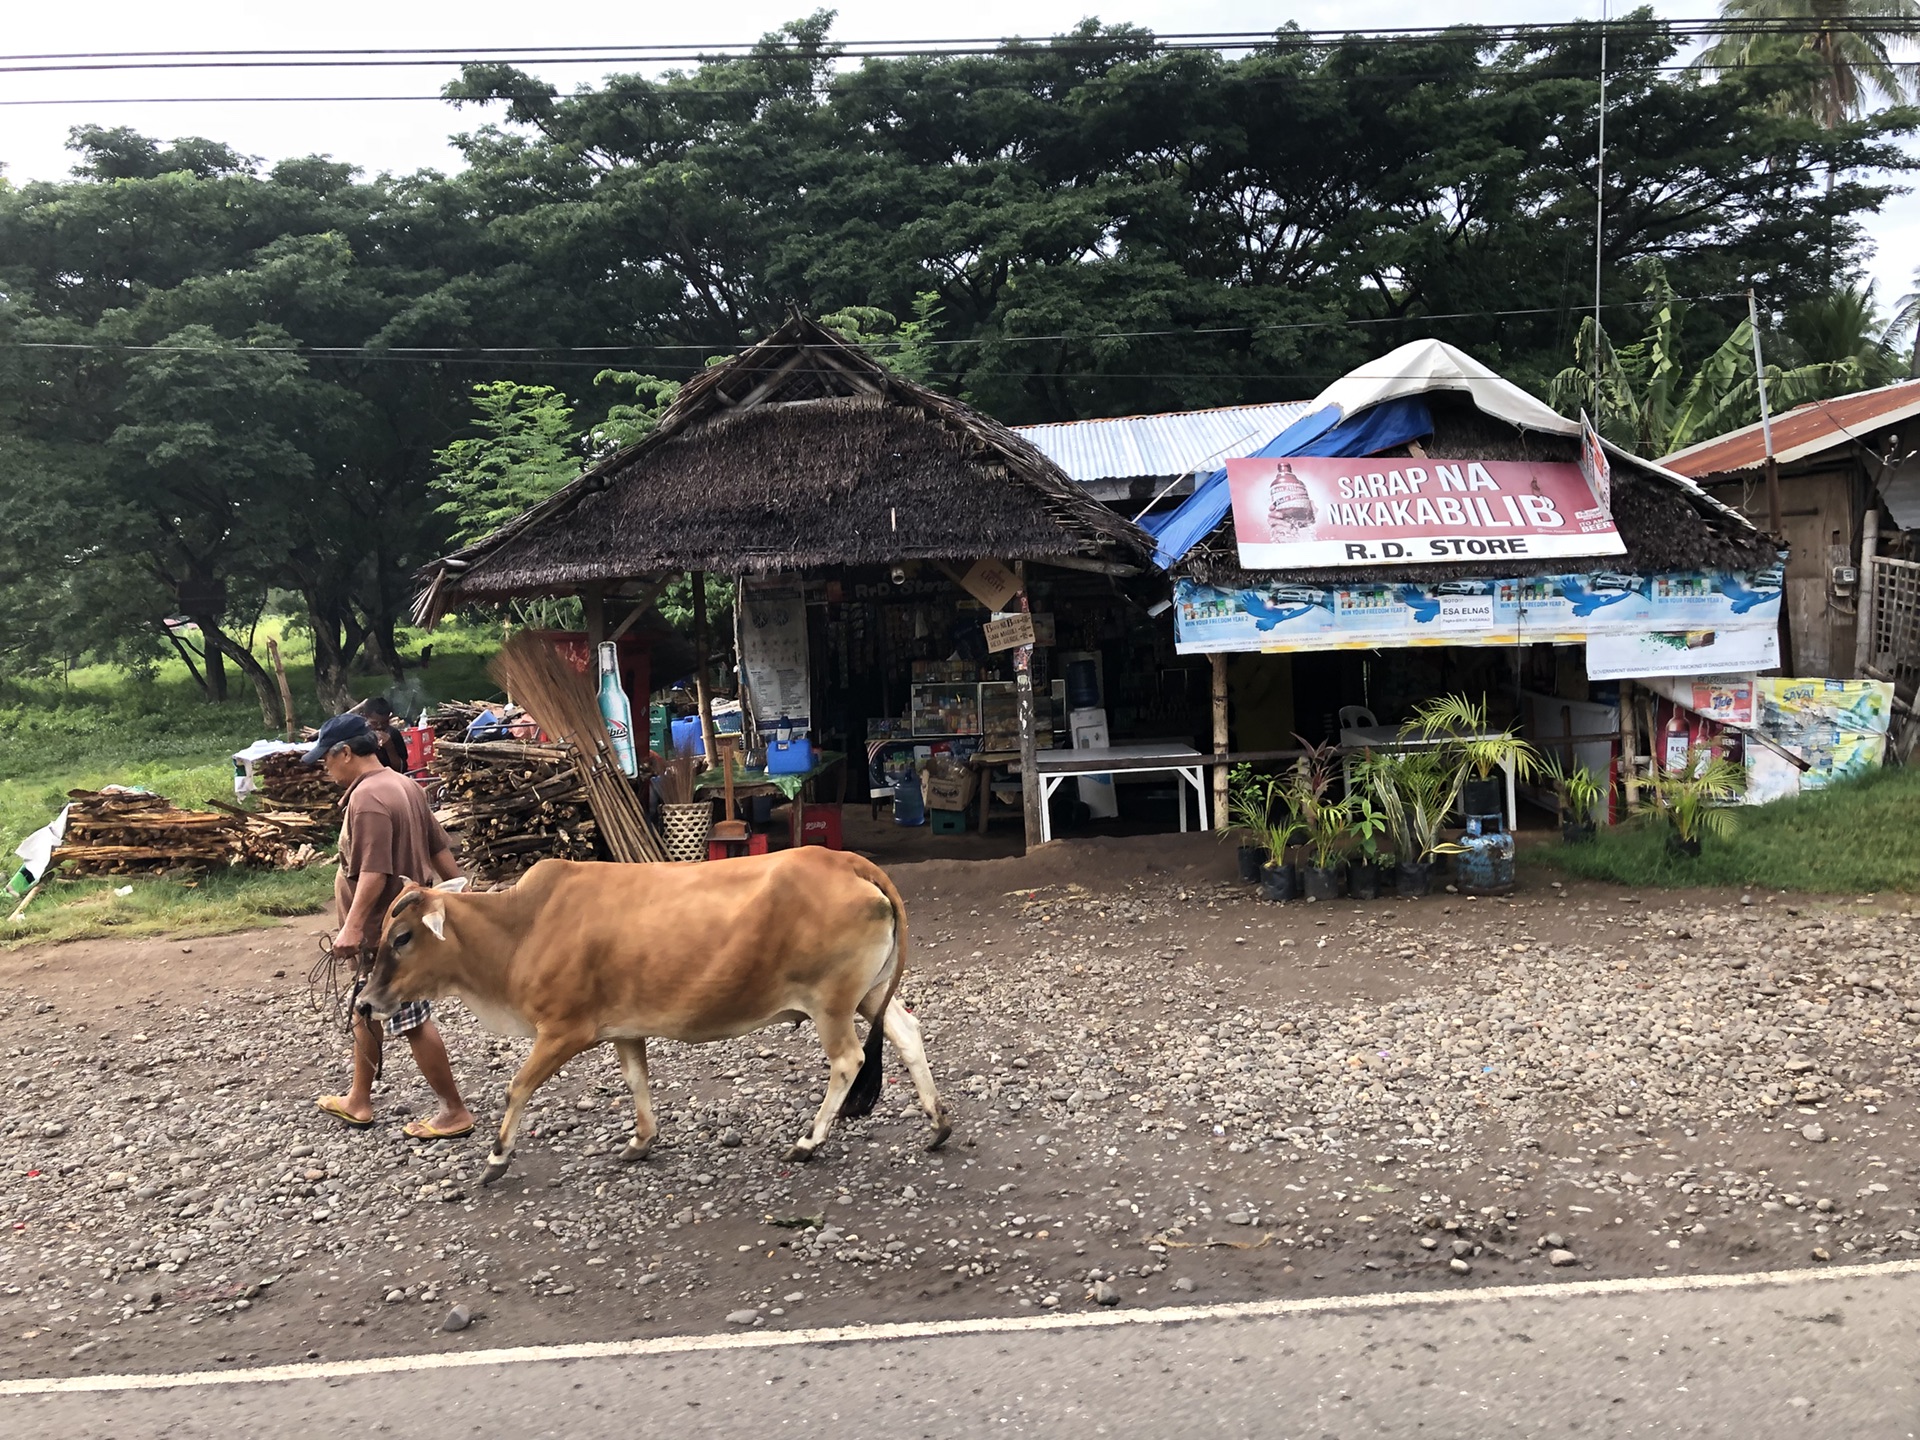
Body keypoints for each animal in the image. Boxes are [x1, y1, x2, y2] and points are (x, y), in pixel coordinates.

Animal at [355, 852, 952, 1190]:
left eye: (401, 937)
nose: (364, 1002)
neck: (521, 929)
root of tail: (847, 860)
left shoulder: (563, 1030)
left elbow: (516, 1088)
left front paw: (497, 1157)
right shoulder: (625, 1030)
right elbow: (637, 1082)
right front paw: (641, 1142)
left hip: (831, 1002)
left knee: (848, 1059)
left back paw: (808, 1143)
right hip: (868, 995)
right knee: (907, 1034)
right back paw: (938, 1124)